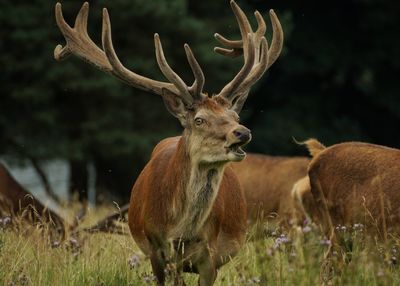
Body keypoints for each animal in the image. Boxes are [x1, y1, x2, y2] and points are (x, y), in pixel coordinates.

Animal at [54, 1, 282, 284]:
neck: (181, 232)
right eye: (199, 119)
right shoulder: (156, 251)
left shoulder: (211, 258)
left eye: (235, 116)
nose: (242, 132)